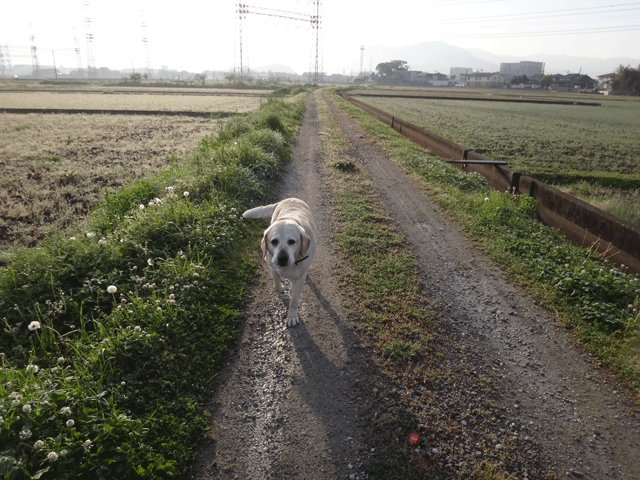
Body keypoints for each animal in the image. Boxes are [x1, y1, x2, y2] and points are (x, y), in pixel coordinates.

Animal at [242, 198, 318, 326]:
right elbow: (277, 286)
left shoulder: (299, 280)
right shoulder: (273, 268)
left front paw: (292, 316)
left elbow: (294, 301)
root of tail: (290, 198)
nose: (282, 258)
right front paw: (281, 288)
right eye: (274, 241)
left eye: (292, 241)